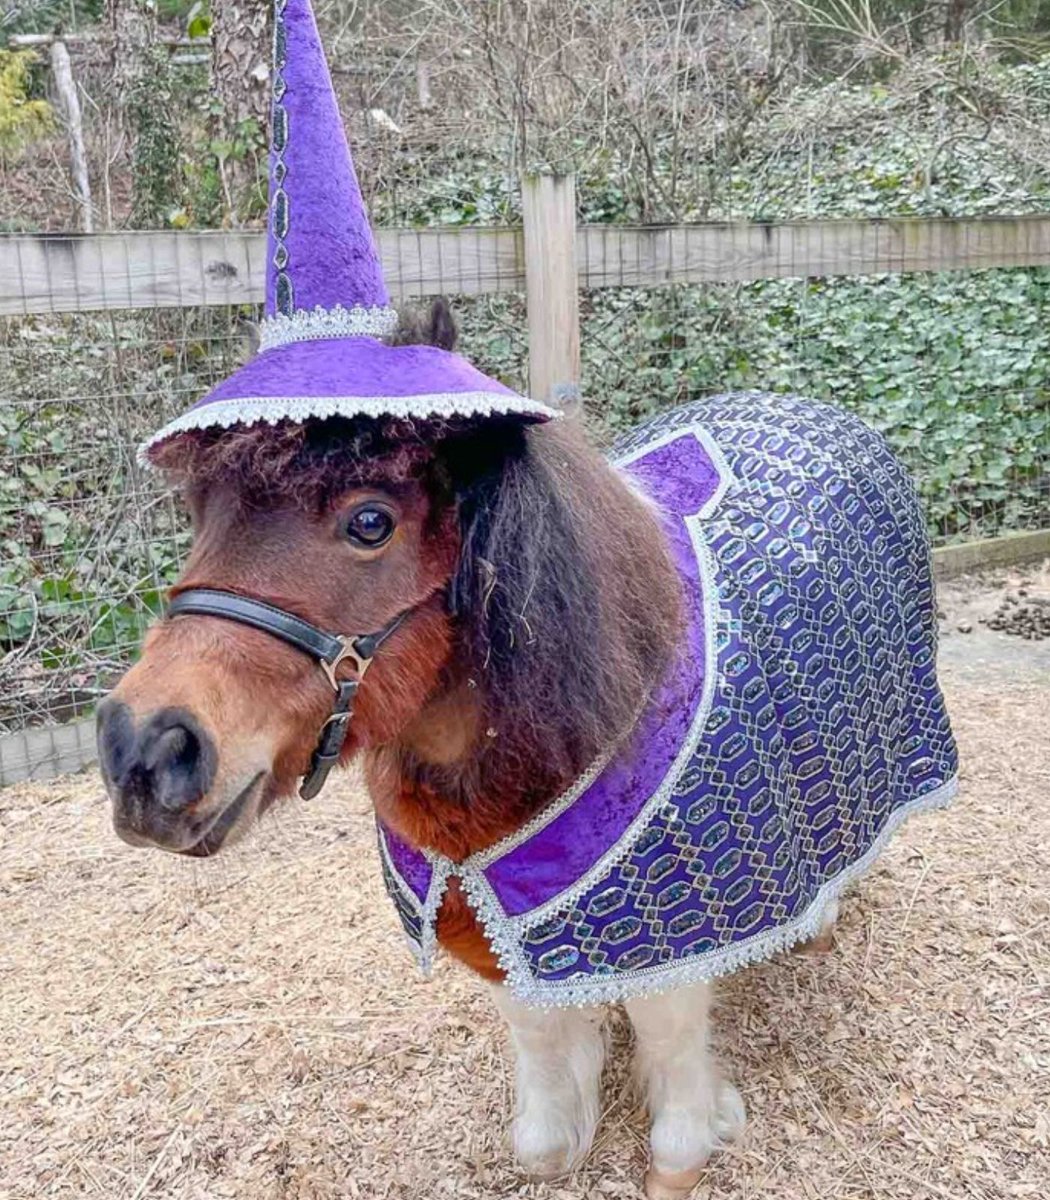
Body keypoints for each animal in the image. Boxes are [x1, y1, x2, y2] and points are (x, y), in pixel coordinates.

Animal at [97, 301, 956, 1199]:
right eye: (202, 513)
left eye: (370, 522)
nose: (143, 752)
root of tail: (813, 410)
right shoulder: (481, 914)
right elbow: (538, 1043)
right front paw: (560, 1133)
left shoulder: (671, 930)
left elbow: (668, 1034)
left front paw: (689, 1142)